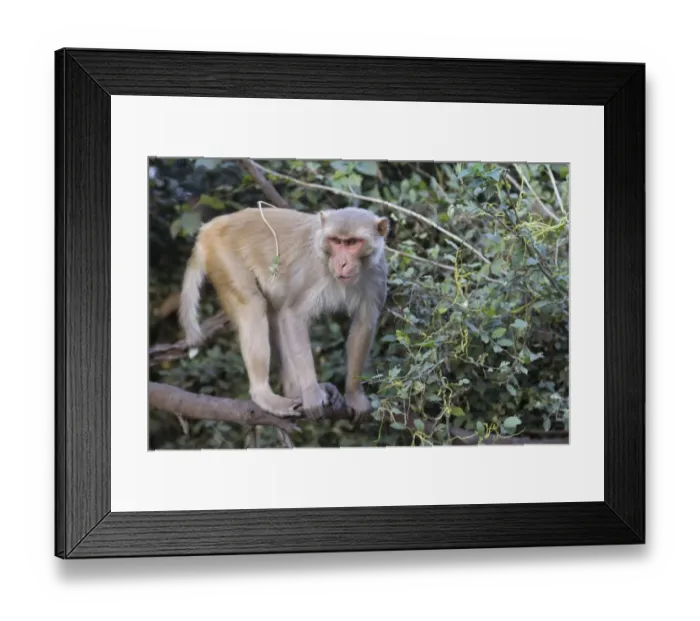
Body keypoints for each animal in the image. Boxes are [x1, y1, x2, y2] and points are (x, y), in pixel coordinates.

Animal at [178, 205, 390, 420]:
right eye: (336, 241)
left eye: (352, 242)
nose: (342, 263)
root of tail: (209, 227)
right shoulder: (313, 271)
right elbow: (293, 315)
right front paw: (311, 393)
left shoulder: (377, 272)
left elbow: (364, 324)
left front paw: (354, 395)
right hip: (224, 256)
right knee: (254, 306)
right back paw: (265, 394)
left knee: (274, 314)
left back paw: (293, 391)